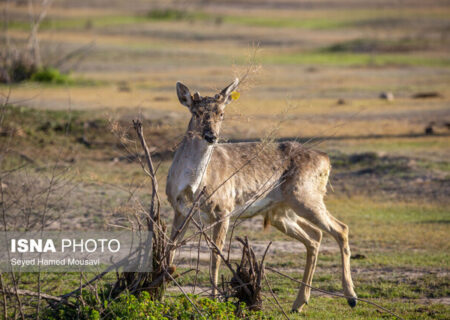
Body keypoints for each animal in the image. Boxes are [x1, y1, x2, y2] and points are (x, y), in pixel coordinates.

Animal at [166, 78, 358, 312]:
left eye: (222, 113)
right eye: (196, 112)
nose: (211, 136)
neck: (193, 185)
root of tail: (326, 160)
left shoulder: (223, 208)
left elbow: (215, 257)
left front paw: (215, 300)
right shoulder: (179, 210)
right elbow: (171, 248)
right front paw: (157, 294)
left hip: (306, 196)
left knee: (341, 229)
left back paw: (351, 297)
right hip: (280, 212)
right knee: (315, 236)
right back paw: (298, 303)